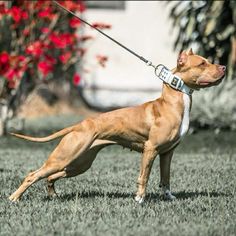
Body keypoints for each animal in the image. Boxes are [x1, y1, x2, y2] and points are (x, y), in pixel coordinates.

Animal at [9, 48, 226, 202]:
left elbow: (166, 178)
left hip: (79, 163)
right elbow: (144, 176)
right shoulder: (151, 149)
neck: (173, 103)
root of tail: (79, 124)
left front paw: (168, 197)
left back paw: (53, 195)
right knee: (33, 175)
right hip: (64, 157)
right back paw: (14, 198)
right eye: (202, 63)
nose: (224, 67)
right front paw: (139, 199)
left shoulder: (167, 153)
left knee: (50, 177)